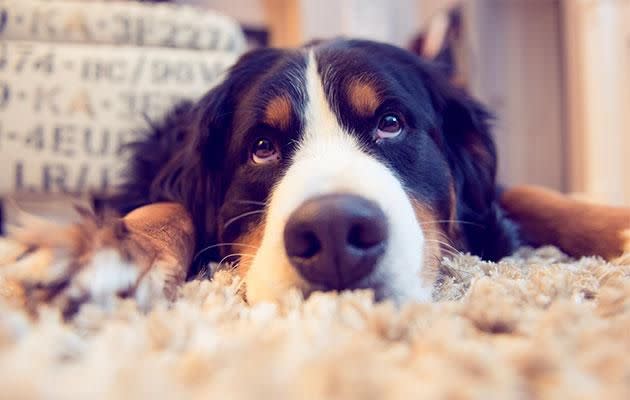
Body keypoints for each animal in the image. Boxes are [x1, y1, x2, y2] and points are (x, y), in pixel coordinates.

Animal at [8, 38, 630, 312]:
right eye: (261, 147)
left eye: (390, 123)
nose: (334, 233)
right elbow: (167, 204)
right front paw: (114, 250)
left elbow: (529, 194)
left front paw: (613, 223)